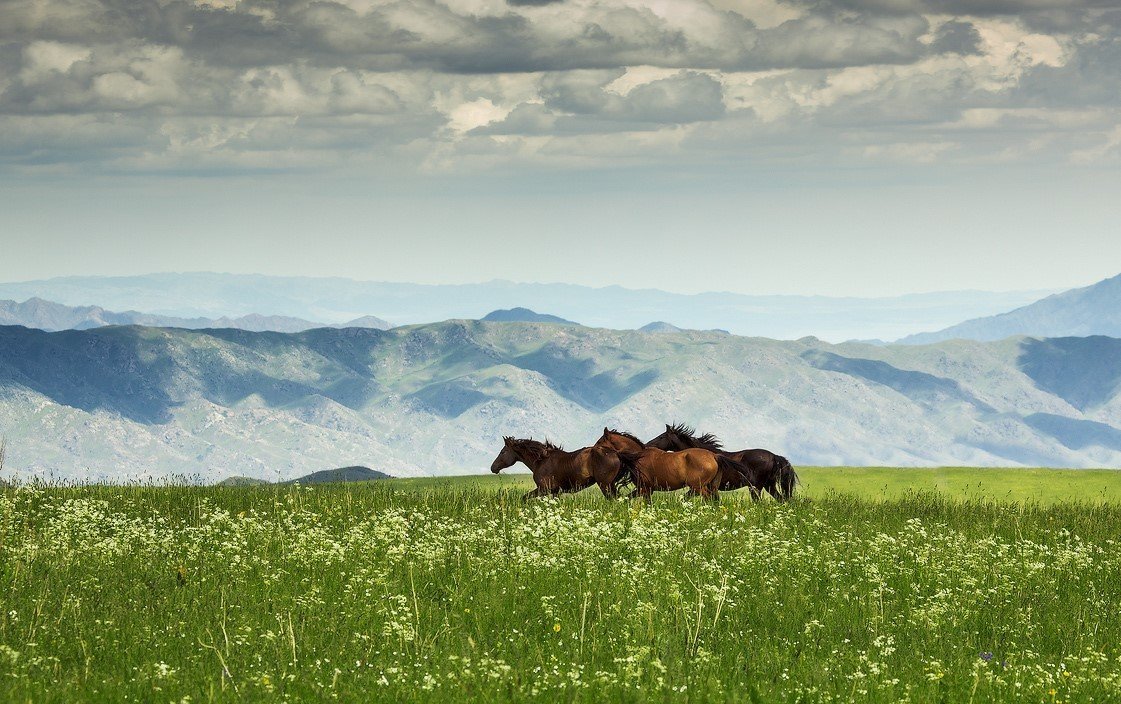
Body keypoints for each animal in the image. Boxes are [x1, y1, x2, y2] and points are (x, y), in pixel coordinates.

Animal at [490, 434, 632, 499]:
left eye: (502, 452)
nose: (493, 468)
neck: (541, 460)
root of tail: (615, 453)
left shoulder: (543, 489)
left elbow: (524, 498)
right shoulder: (555, 492)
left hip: (605, 485)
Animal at [591, 425, 748, 502]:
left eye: (600, 441)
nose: (591, 449)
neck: (638, 457)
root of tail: (715, 456)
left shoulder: (645, 488)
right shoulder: (645, 489)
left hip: (699, 487)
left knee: (708, 499)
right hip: (712, 486)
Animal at [650, 423, 798, 499]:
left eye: (662, 436)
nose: (648, 444)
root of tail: (774, 456)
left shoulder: (699, 486)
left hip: (756, 487)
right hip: (769, 485)